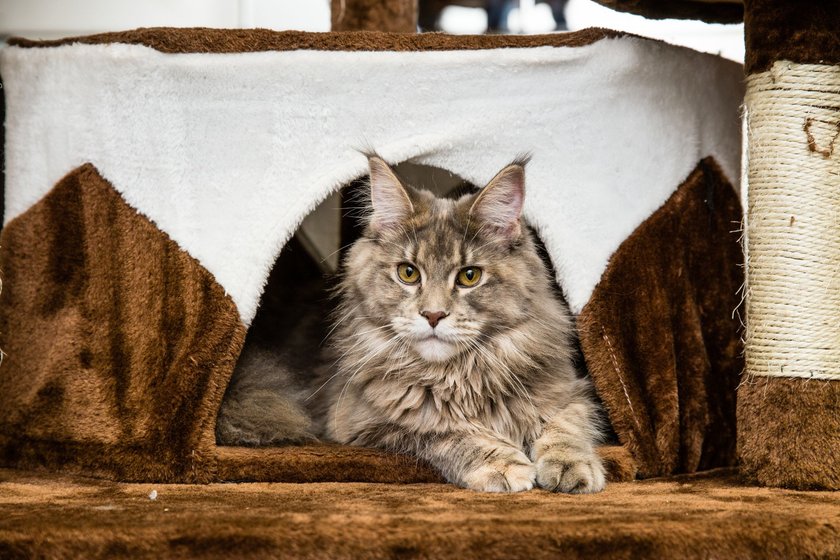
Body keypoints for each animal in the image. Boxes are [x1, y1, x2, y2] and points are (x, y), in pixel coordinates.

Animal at [220, 155, 608, 492]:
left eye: (469, 276)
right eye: (408, 273)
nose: (433, 315)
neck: (460, 377)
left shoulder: (568, 391)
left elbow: (565, 426)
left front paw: (572, 467)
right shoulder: (371, 421)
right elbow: (448, 430)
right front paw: (502, 464)